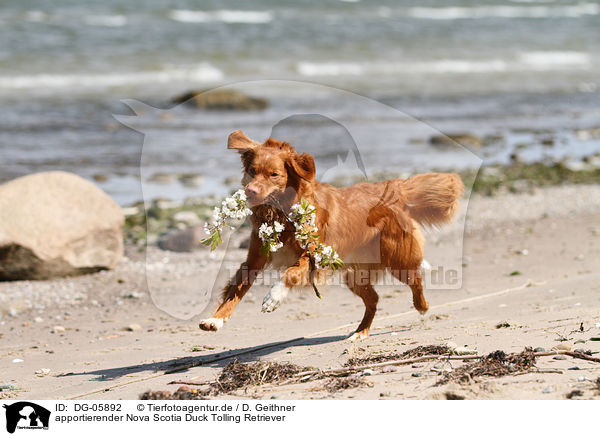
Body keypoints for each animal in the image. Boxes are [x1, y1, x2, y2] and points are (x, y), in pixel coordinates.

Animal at [200, 129, 464, 340]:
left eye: (274, 174)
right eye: (252, 171)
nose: (250, 191)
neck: (281, 214)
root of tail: (392, 189)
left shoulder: (313, 254)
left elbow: (291, 273)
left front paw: (273, 297)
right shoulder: (255, 258)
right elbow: (236, 289)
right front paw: (216, 318)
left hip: (397, 258)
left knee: (415, 280)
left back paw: (422, 307)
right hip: (355, 275)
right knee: (374, 299)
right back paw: (360, 332)